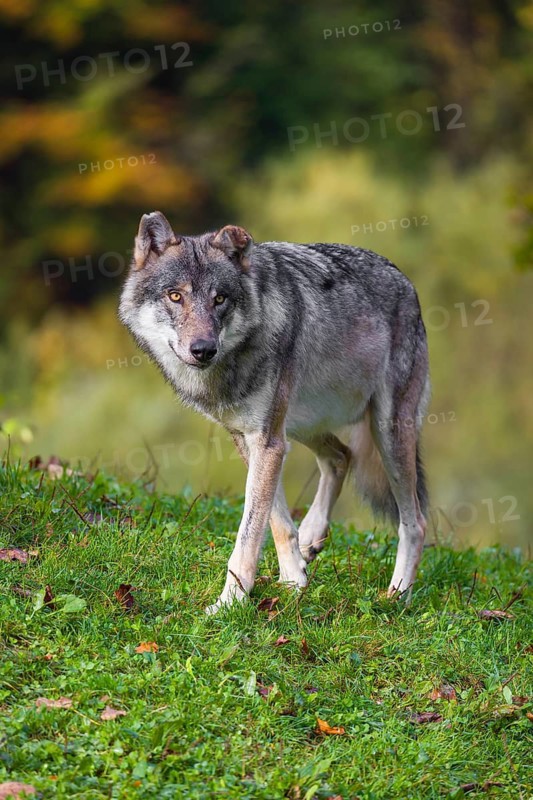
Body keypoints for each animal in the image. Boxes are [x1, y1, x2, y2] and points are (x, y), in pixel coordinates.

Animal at [119, 211, 430, 614]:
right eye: (176, 296)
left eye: (219, 299)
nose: (203, 349)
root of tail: (405, 281)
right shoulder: (253, 440)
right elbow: (277, 520)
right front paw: (293, 580)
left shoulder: (267, 442)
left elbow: (248, 534)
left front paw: (230, 602)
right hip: (300, 426)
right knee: (341, 456)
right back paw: (312, 536)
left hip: (386, 433)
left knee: (415, 522)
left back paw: (398, 594)